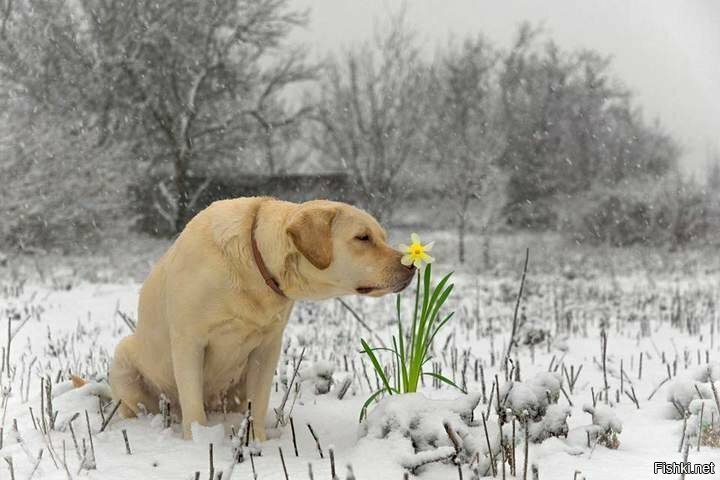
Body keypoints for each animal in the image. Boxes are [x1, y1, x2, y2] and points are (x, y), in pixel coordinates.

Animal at [109, 197, 414, 440]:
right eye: (363, 237)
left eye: (381, 236)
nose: (410, 266)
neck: (254, 266)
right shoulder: (189, 343)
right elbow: (193, 406)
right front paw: (198, 442)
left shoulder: (267, 348)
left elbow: (258, 401)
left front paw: (257, 442)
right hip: (124, 358)